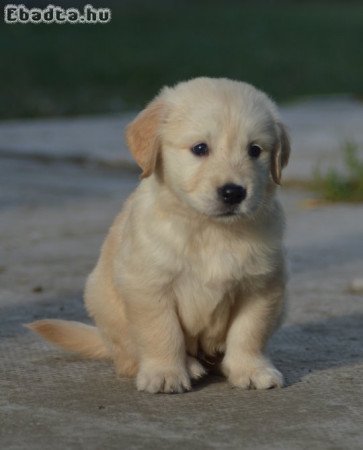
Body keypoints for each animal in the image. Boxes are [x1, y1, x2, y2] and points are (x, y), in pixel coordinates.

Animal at [27, 78, 290, 394]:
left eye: (255, 150)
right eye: (200, 148)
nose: (233, 192)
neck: (209, 229)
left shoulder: (261, 287)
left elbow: (249, 331)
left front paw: (251, 369)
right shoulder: (149, 286)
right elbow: (163, 332)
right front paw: (166, 373)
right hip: (103, 304)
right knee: (129, 356)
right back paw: (188, 365)